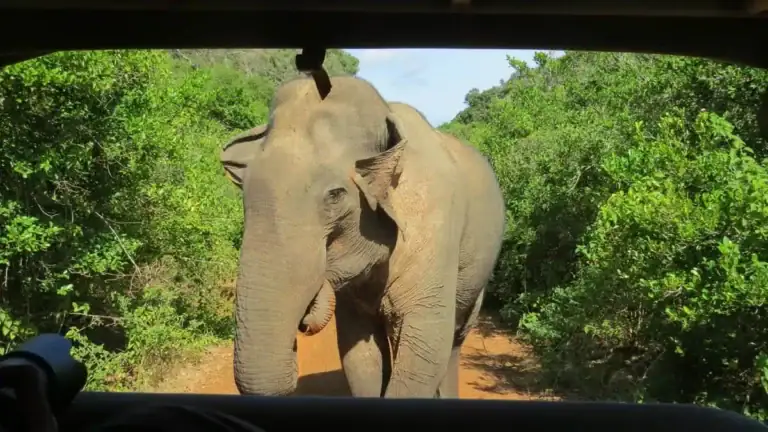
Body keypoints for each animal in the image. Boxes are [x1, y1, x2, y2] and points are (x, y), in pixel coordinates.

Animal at [219, 74, 506, 398]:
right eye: (244, 189)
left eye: (335, 195)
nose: (301, 325)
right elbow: (359, 355)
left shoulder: (434, 220)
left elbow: (425, 344)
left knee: (455, 337)